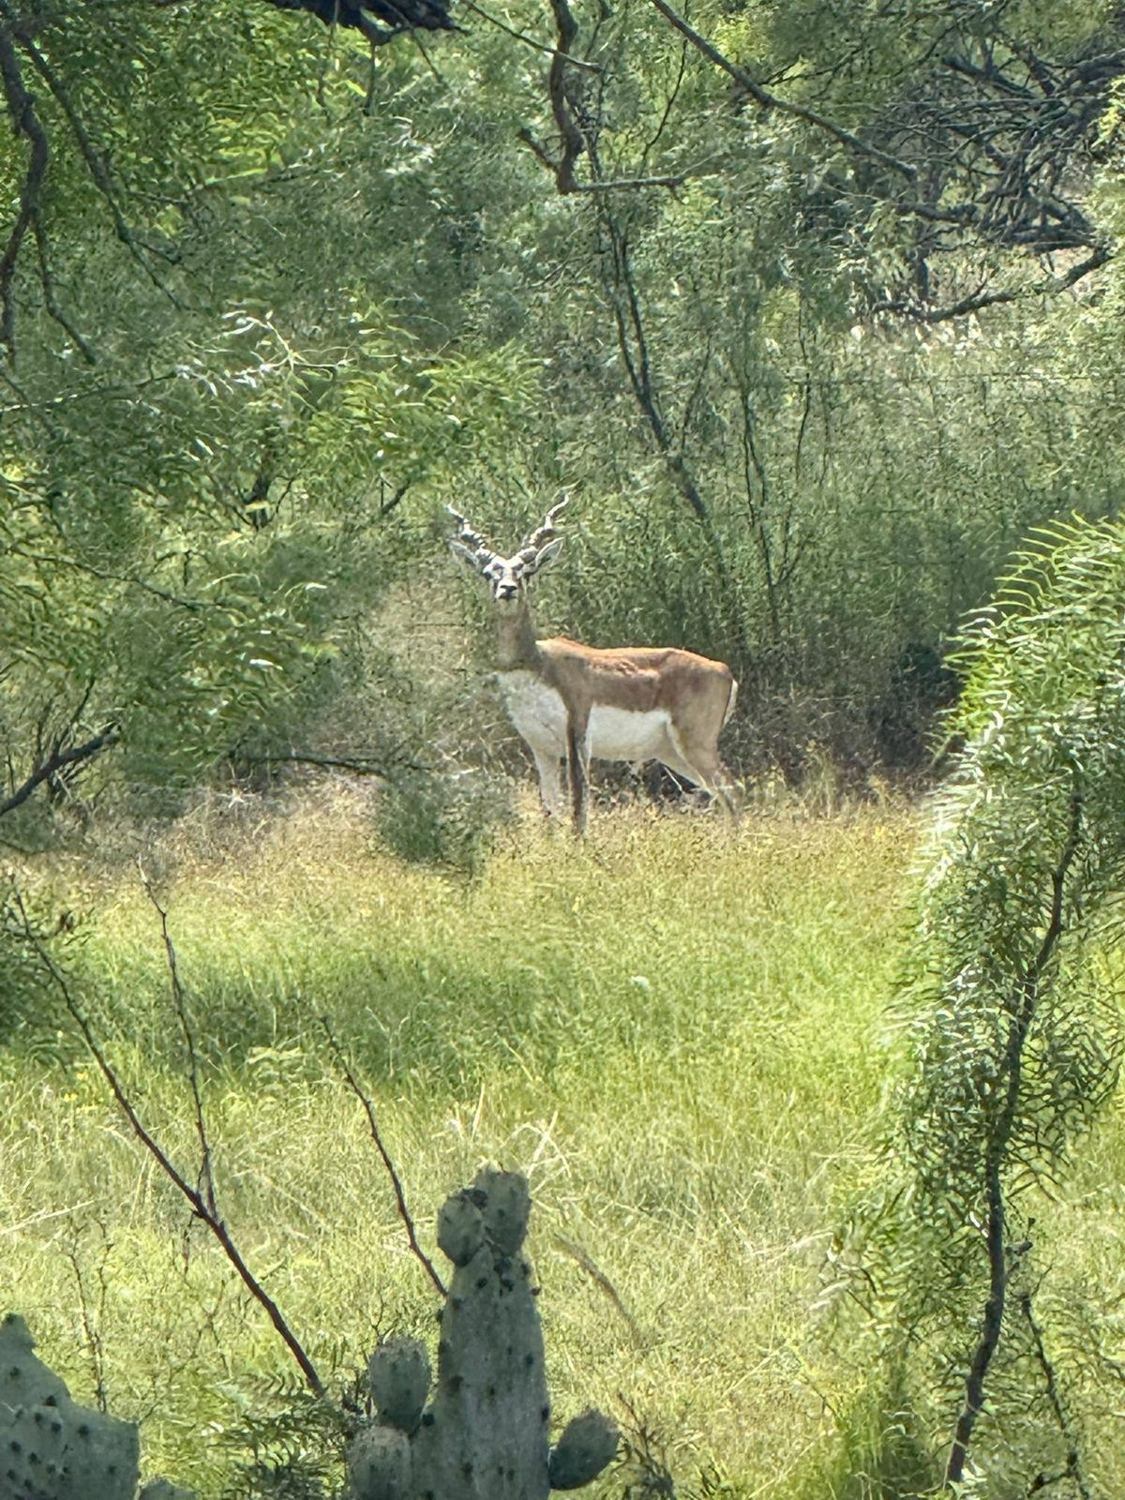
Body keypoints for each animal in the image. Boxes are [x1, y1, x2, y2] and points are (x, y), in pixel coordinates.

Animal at [448, 498, 739, 833]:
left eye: (527, 571)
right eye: (488, 573)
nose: (507, 589)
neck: (537, 665)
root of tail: (723, 671)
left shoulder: (577, 734)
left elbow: (578, 807)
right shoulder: (541, 748)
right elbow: (550, 810)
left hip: (695, 744)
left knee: (733, 790)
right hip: (671, 752)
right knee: (721, 794)